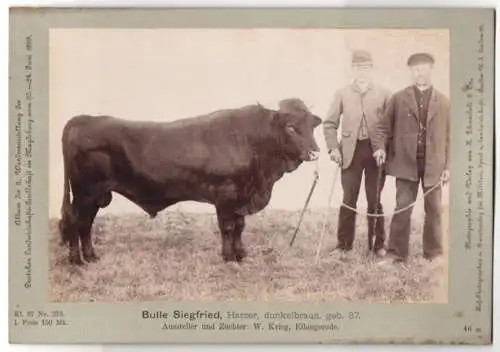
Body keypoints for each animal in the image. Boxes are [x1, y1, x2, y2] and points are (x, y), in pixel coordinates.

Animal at [58, 98, 322, 264]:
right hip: (85, 193)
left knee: (85, 225)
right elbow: (228, 227)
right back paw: (76, 260)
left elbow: (240, 227)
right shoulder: (226, 195)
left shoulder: (241, 198)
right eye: (290, 127)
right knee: (75, 222)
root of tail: (84, 119)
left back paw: (91, 257)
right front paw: (229, 258)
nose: (314, 152)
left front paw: (241, 254)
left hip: (95, 196)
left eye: (311, 126)